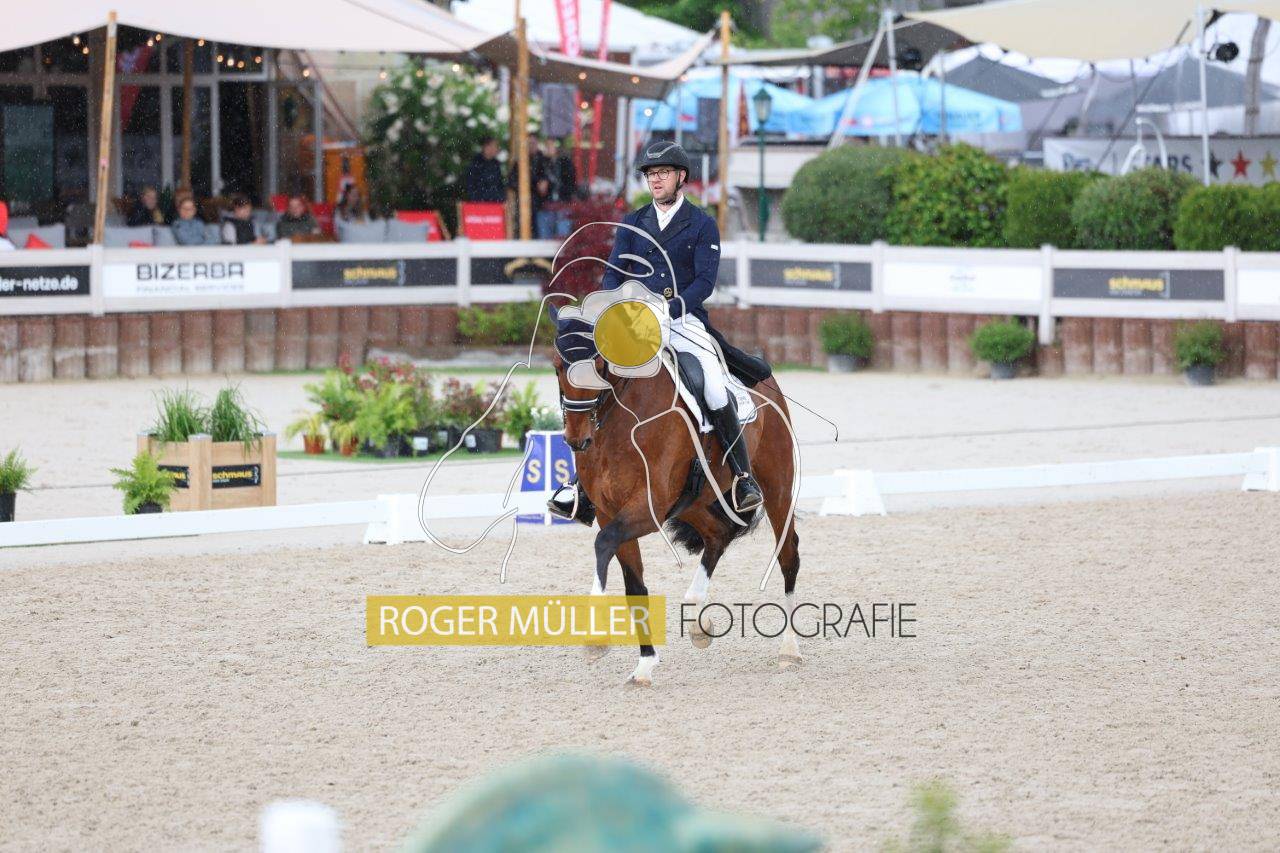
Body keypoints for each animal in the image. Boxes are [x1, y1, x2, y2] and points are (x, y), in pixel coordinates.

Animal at [551, 320, 803, 686]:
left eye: (598, 366)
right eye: (557, 366)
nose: (576, 438)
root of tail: (767, 379)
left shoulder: (647, 508)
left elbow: (603, 543)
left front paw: (595, 641)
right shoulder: (609, 512)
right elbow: (633, 584)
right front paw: (644, 665)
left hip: (777, 487)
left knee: (788, 555)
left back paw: (789, 650)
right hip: (696, 499)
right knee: (717, 536)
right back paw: (699, 620)